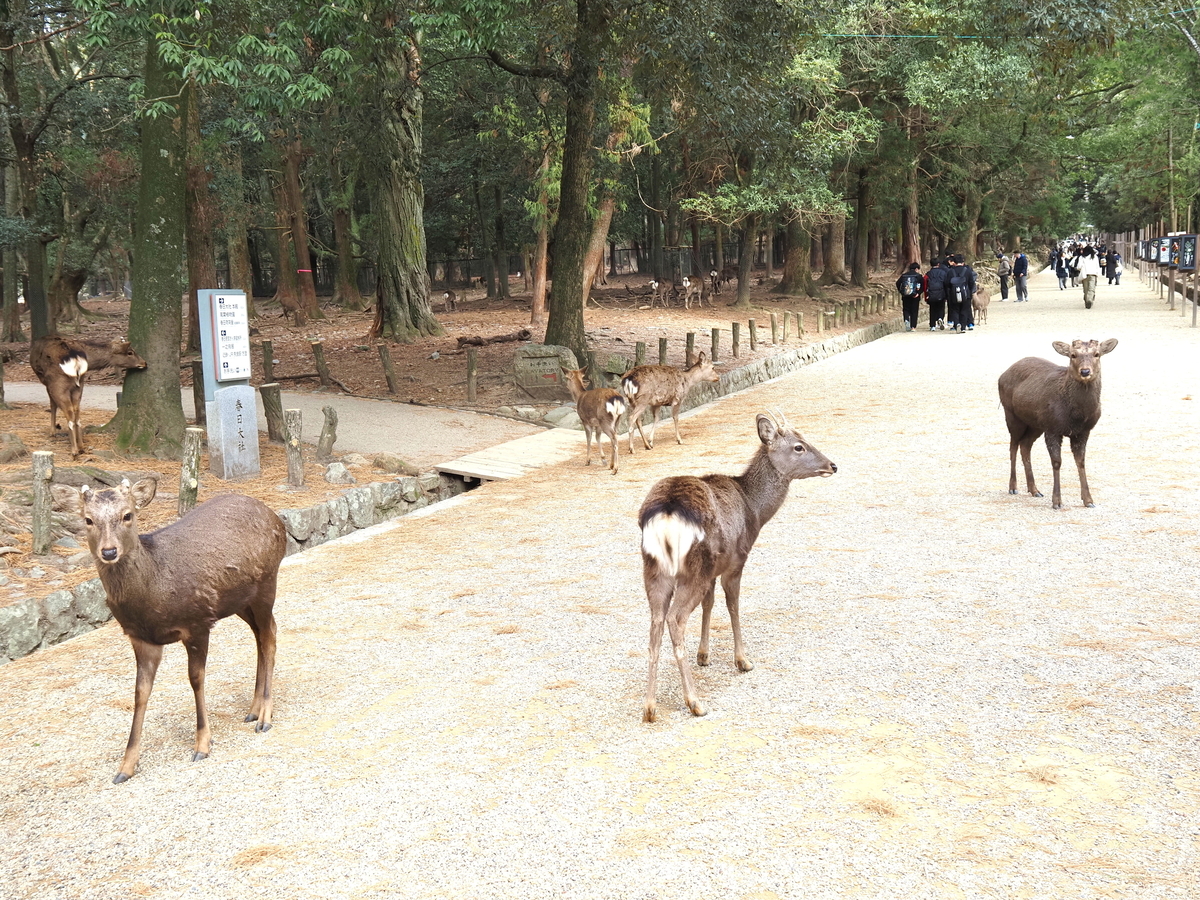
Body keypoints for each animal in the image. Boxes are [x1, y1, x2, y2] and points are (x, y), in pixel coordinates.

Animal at [52, 477, 287, 783]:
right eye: (88, 519)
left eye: (128, 515)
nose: (109, 551)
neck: (152, 596)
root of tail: (276, 518)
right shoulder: (140, 638)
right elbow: (140, 692)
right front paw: (125, 766)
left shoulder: (198, 622)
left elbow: (196, 679)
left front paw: (202, 745)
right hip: (240, 601)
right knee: (260, 634)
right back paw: (253, 709)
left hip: (267, 582)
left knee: (270, 635)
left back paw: (264, 717)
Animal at [639, 411, 837, 721]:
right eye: (799, 446)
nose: (833, 465)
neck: (755, 510)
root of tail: (667, 513)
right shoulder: (736, 560)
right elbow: (733, 605)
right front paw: (743, 660)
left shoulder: (713, 571)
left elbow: (709, 604)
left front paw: (704, 655)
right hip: (693, 568)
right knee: (675, 619)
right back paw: (694, 702)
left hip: (656, 570)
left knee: (656, 621)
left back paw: (650, 707)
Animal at [998, 338, 1118, 509]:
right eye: (1073, 355)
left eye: (1097, 354)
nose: (1085, 371)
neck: (1077, 416)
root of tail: (1002, 375)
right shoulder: (1052, 428)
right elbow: (1056, 462)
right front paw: (1057, 501)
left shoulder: (1083, 431)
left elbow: (1081, 462)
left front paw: (1088, 500)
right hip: (1012, 415)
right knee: (1013, 446)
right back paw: (1013, 487)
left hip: (1035, 424)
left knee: (1025, 446)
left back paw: (1034, 490)